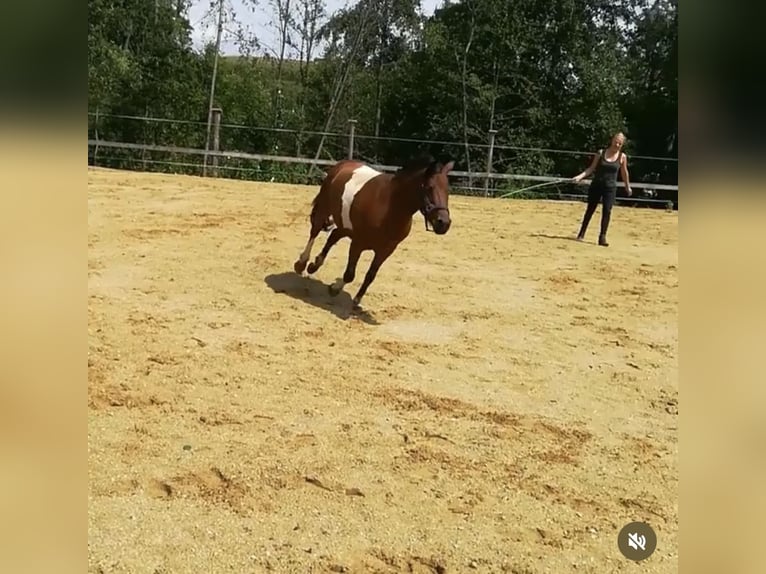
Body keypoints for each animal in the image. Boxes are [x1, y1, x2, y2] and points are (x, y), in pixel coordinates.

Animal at [292, 155, 455, 309]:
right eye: (429, 187)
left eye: (447, 190)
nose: (443, 223)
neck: (390, 207)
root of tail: (342, 165)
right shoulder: (358, 243)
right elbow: (350, 274)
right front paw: (335, 289)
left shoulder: (386, 250)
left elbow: (371, 275)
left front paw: (356, 299)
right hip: (324, 209)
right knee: (314, 232)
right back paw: (302, 264)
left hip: (346, 227)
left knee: (333, 236)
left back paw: (314, 266)